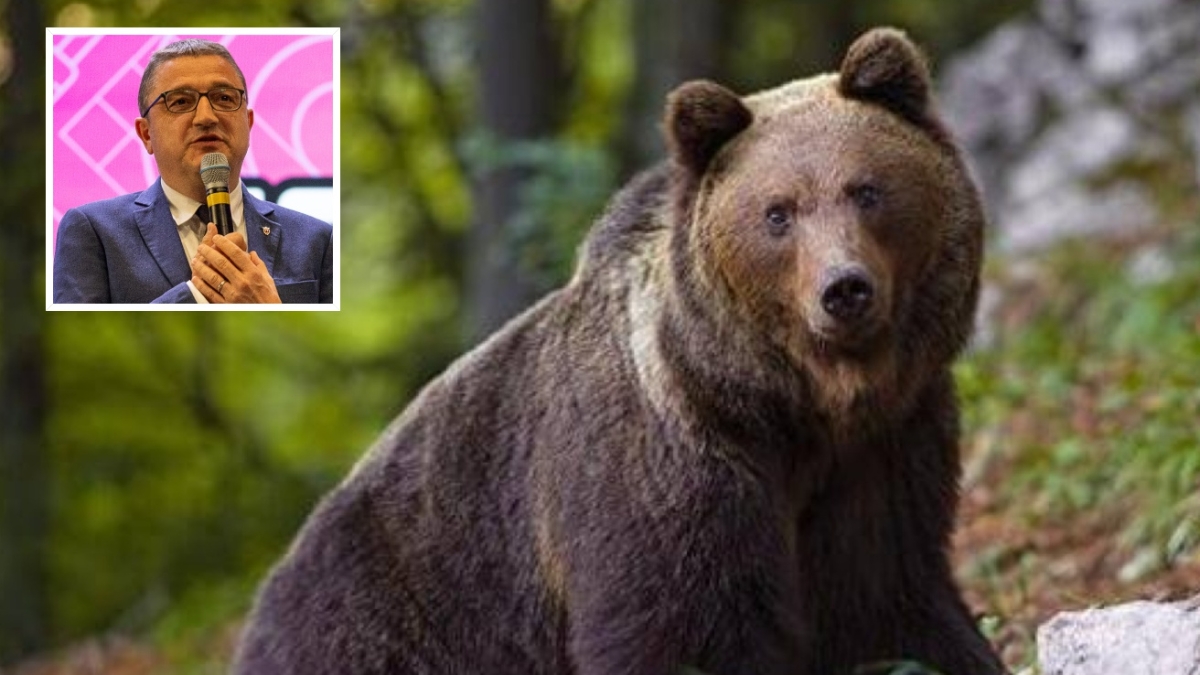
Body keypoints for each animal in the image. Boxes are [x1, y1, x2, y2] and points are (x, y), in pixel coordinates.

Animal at [233, 27, 1006, 675]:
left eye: (866, 189)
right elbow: (680, 629)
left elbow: (887, 602)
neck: (786, 407)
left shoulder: (882, 453)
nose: (843, 289)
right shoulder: (663, 469)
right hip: (391, 617)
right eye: (778, 212)